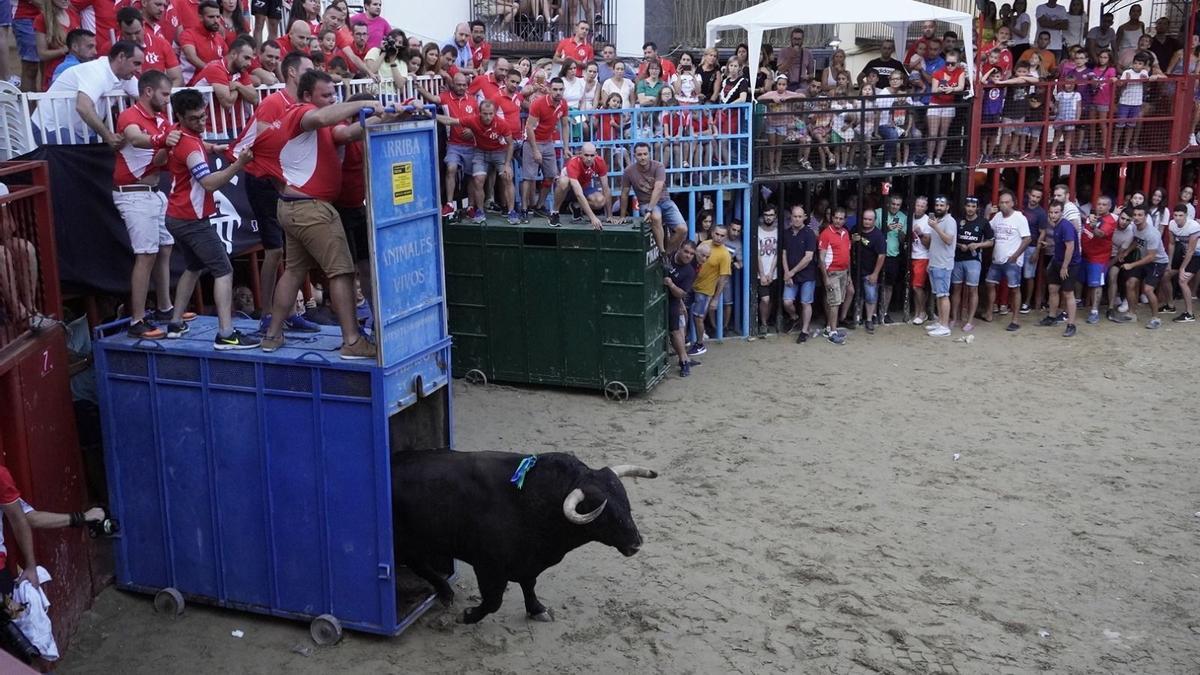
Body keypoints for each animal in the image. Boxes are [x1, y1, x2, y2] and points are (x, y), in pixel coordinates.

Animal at [391, 449, 657, 624]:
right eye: (605, 516)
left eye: (627, 505)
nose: (636, 544)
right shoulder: (488, 567)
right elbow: (493, 601)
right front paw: (468, 616)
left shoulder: (529, 563)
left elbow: (529, 585)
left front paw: (537, 609)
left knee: (418, 564)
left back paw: (445, 592)